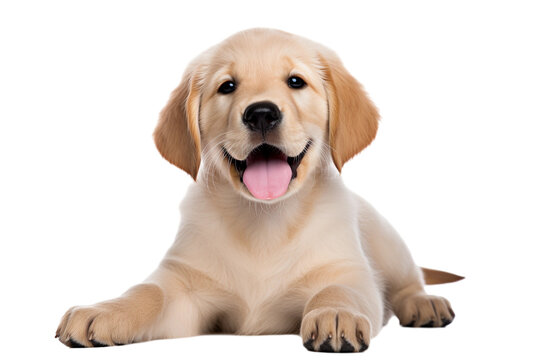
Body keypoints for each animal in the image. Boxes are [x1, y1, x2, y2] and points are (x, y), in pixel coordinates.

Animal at [54, 27, 462, 352]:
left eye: (295, 82)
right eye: (227, 86)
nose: (262, 113)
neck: (265, 219)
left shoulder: (347, 271)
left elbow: (339, 290)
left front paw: (335, 314)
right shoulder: (184, 288)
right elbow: (148, 292)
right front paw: (106, 310)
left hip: (385, 239)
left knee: (409, 281)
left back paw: (425, 305)